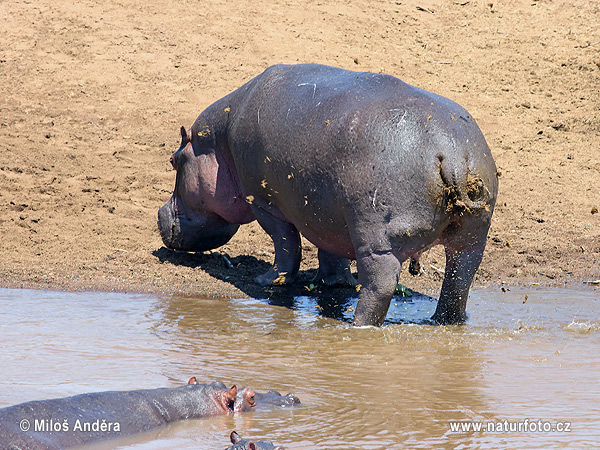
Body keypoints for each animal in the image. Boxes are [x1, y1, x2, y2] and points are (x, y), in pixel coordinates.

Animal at [157, 63, 500, 326]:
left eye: (173, 160)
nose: (159, 215)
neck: (218, 142)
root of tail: (451, 153)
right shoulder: (325, 212)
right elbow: (330, 250)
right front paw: (336, 283)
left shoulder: (263, 202)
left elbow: (286, 245)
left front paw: (266, 281)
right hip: (472, 239)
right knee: (459, 280)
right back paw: (445, 322)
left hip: (377, 239)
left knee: (381, 284)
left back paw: (359, 325)